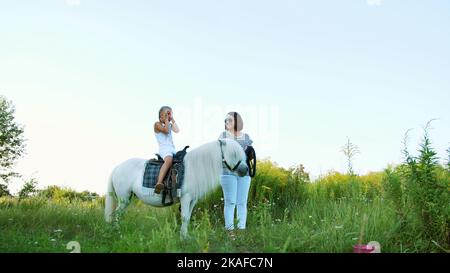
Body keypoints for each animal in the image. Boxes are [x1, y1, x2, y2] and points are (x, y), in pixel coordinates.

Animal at [104, 138, 248, 236]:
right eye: (234, 153)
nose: (246, 170)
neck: (194, 167)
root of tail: (117, 167)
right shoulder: (186, 197)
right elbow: (184, 217)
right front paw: (182, 238)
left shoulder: (193, 200)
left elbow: (188, 217)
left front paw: (185, 236)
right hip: (123, 198)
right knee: (117, 214)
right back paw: (118, 232)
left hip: (127, 198)